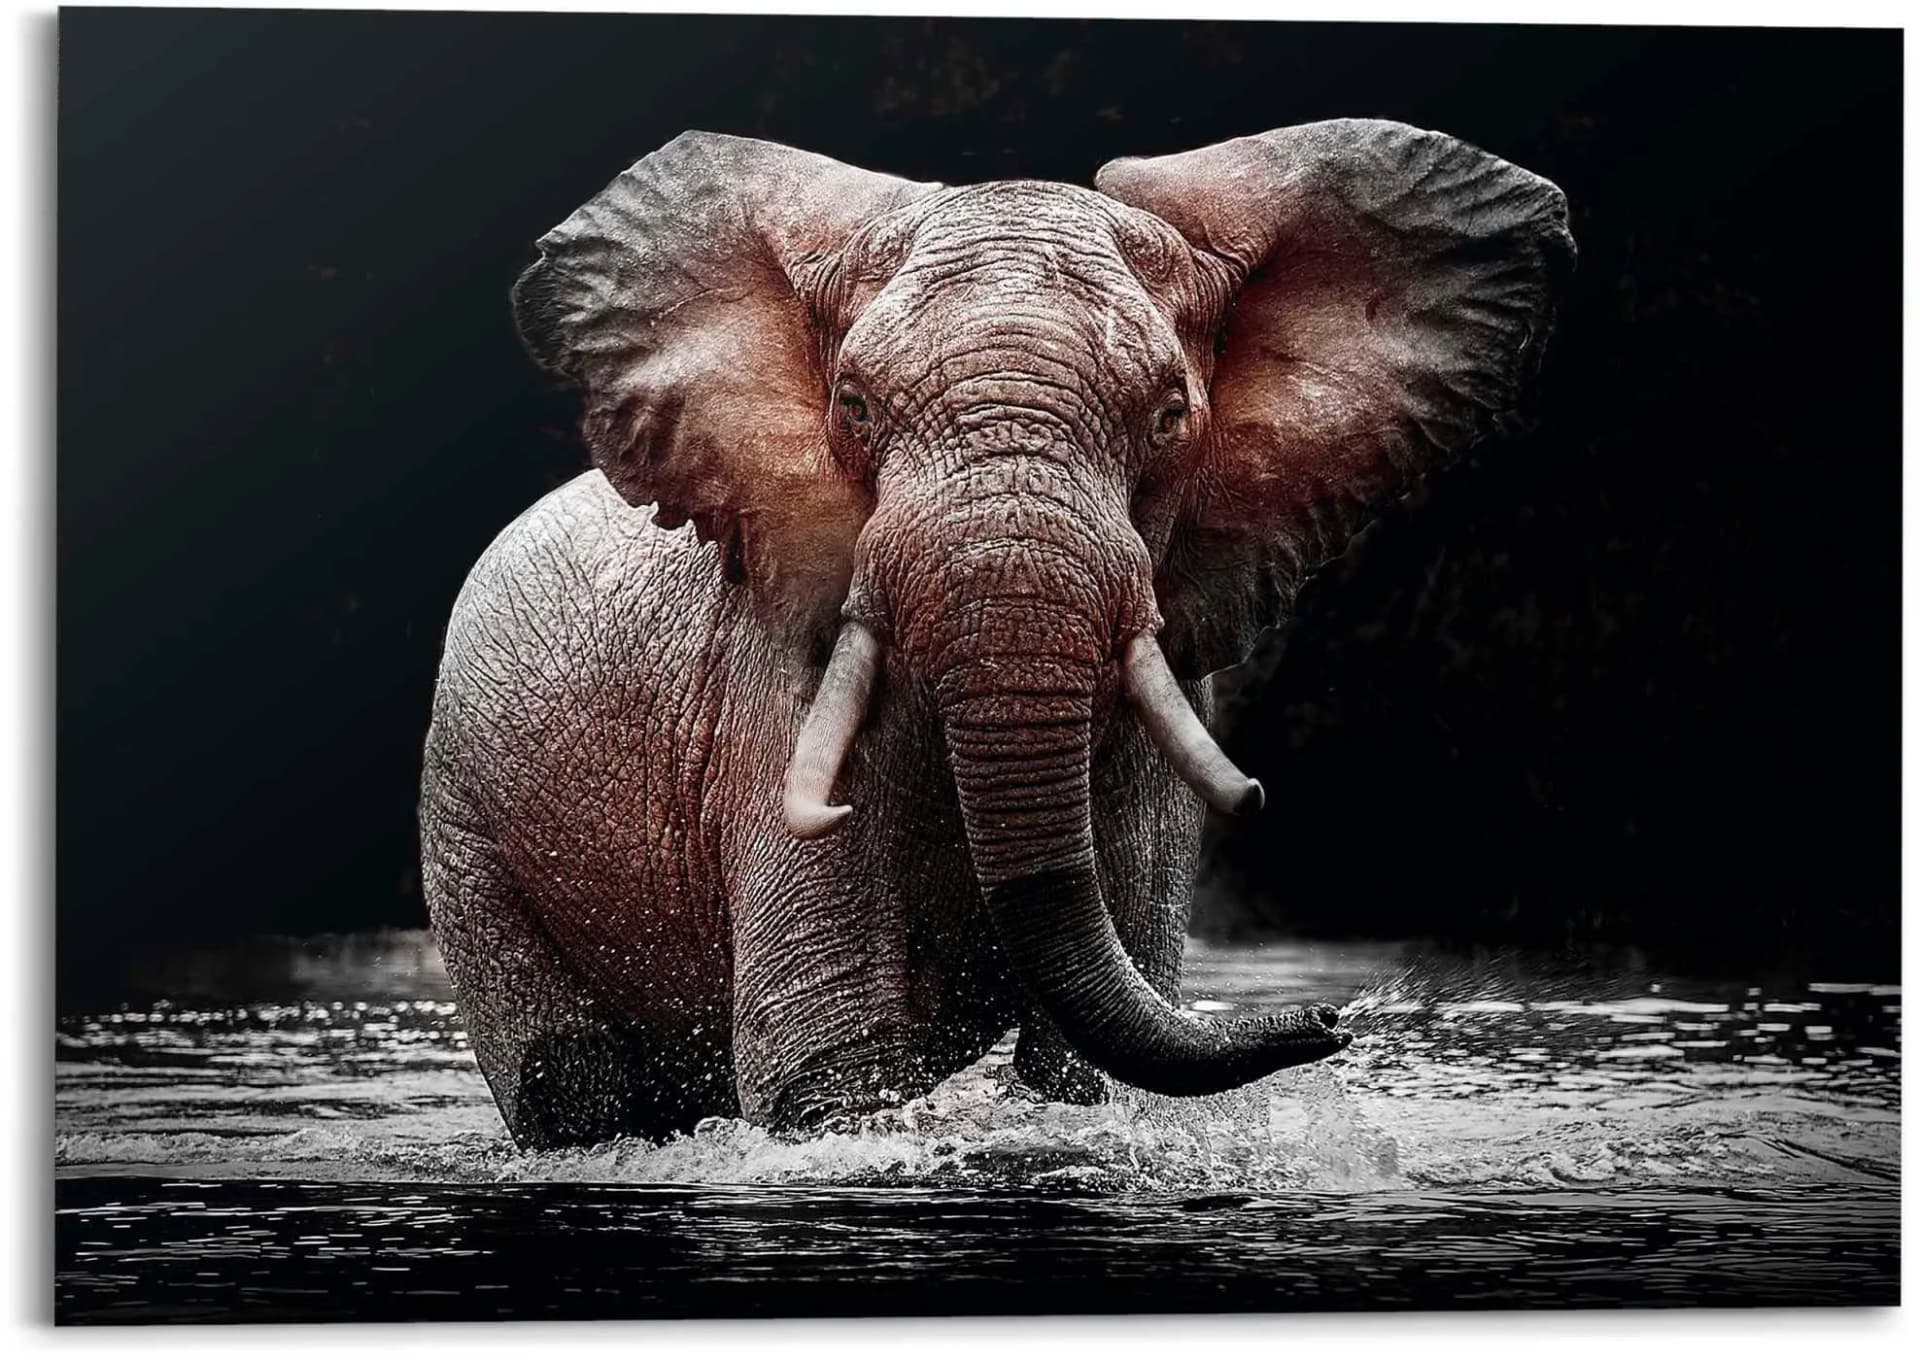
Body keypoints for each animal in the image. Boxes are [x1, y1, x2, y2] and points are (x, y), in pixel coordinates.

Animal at [419, 120, 1573, 1149]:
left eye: (1169, 415)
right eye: (855, 407)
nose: (1333, 1018)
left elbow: (1092, 1059)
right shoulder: (773, 692)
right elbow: (826, 1059)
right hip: (463, 826)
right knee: (568, 1086)